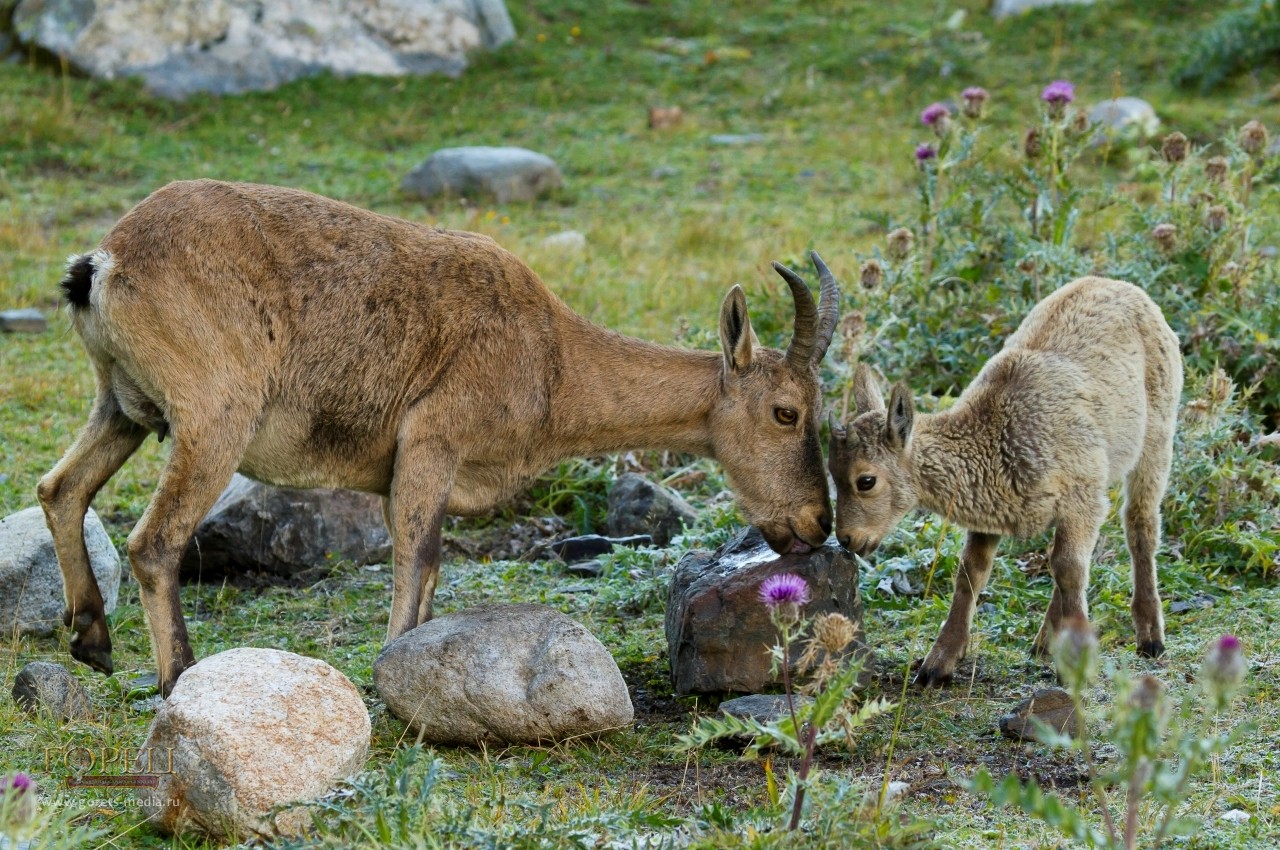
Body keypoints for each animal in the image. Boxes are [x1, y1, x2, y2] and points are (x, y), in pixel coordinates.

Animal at [40, 179, 839, 696]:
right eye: (787, 412)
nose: (815, 524)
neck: (551, 359)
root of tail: (104, 263)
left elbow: (428, 567)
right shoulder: (431, 441)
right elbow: (418, 557)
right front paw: (391, 669)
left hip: (124, 407)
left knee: (60, 488)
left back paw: (92, 640)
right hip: (214, 420)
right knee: (153, 541)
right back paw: (178, 675)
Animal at [829, 275, 1177, 686]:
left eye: (866, 480)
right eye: (832, 472)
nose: (848, 538)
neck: (997, 432)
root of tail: (1128, 290)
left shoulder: (1081, 497)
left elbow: (1069, 568)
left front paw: (1079, 666)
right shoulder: (990, 515)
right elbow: (972, 573)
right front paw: (936, 664)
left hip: (1156, 443)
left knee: (1140, 526)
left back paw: (1150, 637)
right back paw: (1044, 643)